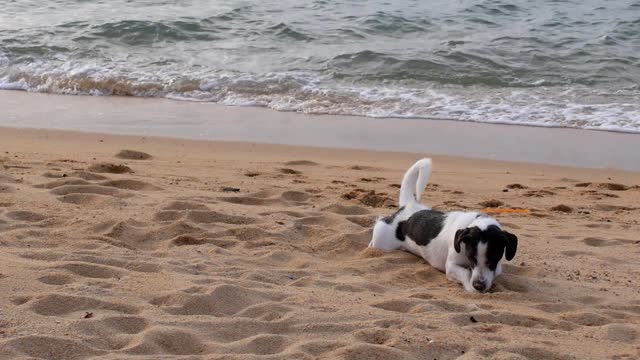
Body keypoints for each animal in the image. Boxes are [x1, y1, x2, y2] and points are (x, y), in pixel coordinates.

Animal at [368, 159, 516, 294]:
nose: (479, 286)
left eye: (492, 260)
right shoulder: (451, 267)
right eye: (471, 258)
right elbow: (466, 273)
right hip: (382, 240)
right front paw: (470, 287)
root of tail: (409, 206)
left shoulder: (496, 268)